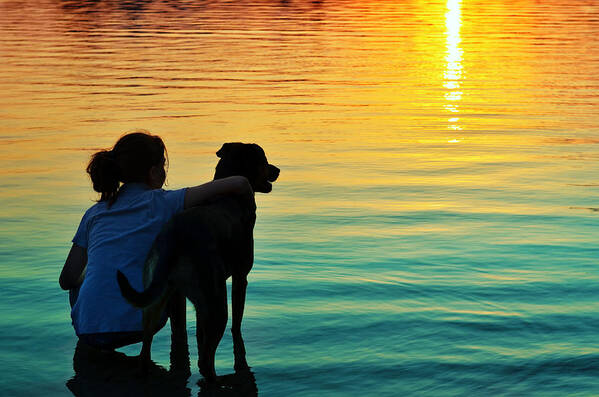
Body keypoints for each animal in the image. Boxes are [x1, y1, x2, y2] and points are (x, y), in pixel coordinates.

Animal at [118, 142, 282, 380]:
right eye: (263, 160)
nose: (277, 170)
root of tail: (174, 238)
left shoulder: (197, 304)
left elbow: (199, 332)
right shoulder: (240, 276)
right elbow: (237, 321)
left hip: (157, 300)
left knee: (145, 348)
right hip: (215, 299)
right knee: (206, 359)